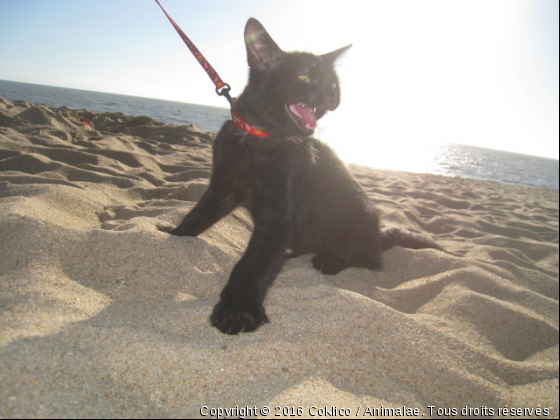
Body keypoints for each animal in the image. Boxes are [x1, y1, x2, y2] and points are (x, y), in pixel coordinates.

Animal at [166, 18, 442, 334]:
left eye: (333, 84)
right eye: (304, 78)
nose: (330, 97)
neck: (261, 138)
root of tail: (376, 237)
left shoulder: (277, 218)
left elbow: (253, 263)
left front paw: (238, 310)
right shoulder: (221, 189)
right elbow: (196, 218)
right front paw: (172, 235)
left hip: (360, 217)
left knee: (366, 259)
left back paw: (330, 260)